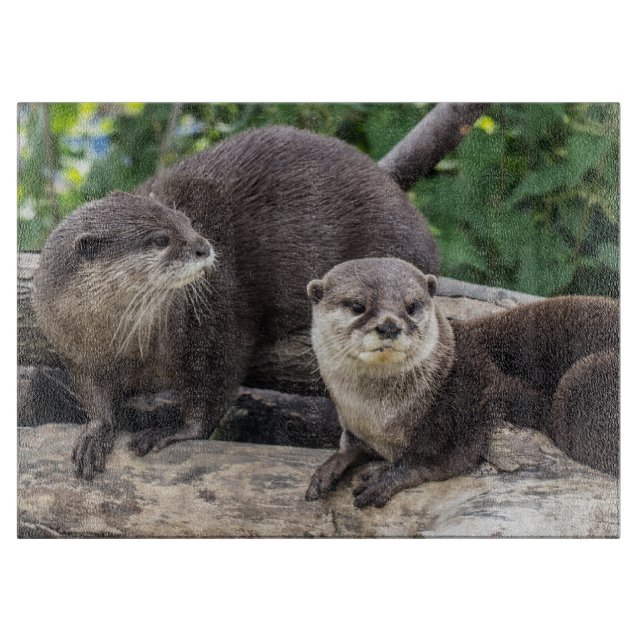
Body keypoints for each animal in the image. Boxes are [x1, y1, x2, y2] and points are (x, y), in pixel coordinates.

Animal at [32, 126, 440, 480]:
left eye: (186, 220)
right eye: (160, 239)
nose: (203, 246)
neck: (128, 342)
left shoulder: (212, 319)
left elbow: (213, 382)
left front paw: (173, 431)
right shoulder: (75, 350)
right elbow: (93, 395)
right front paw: (94, 433)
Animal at [305, 258, 618, 508]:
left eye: (411, 306)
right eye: (358, 306)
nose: (390, 325)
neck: (382, 418)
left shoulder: (471, 394)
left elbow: (438, 456)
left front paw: (388, 477)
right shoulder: (356, 424)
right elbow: (350, 445)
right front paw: (329, 468)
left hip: (582, 378)